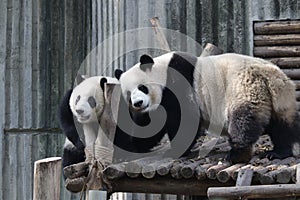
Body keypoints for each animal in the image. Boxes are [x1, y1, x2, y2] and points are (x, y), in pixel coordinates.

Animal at [115, 52, 300, 164]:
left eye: (142, 87)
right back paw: (279, 152)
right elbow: (151, 126)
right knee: (282, 125)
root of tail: (268, 76)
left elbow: (184, 119)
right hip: (279, 98)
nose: (138, 103)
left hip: (243, 88)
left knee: (242, 121)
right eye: (128, 93)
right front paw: (130, 148)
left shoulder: (177, 83)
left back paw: (237, 155)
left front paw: (175, 151)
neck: (163, 70)